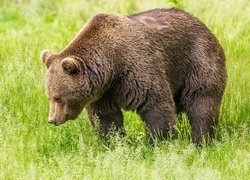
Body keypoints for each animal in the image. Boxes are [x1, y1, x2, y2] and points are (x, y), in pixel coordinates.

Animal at [40, 8, 227, 145]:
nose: (52, 119)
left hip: (197, 62)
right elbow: (106, 118)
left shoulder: (137, 67)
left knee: (201, 102)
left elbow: (156, 104)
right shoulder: (104, 92)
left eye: (58, 97)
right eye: (49, 96)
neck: (112, 66)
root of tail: (203, 25)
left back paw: (201, 141)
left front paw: (160, 141)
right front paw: (112, 143)